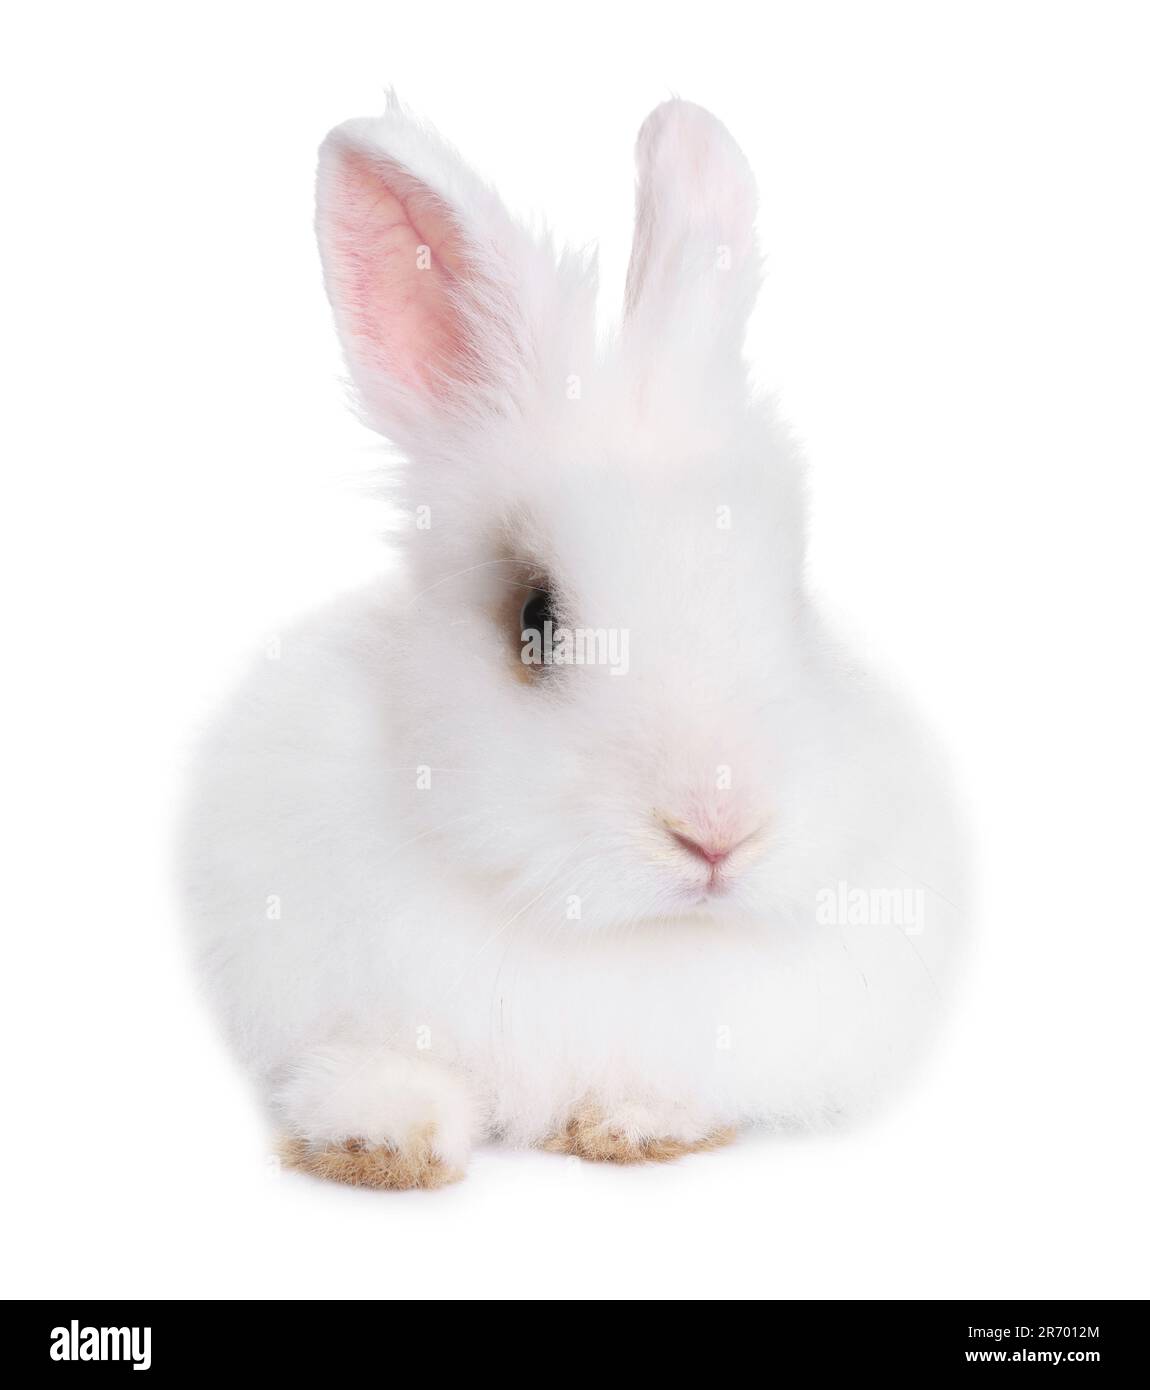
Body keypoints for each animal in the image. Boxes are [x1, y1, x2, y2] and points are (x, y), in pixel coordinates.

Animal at [184, 94, 966, 1189]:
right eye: (535, 618)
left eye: (793, 604)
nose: (717, 833)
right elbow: (376, 1063)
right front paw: (379, 1139)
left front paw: (636, 1125)